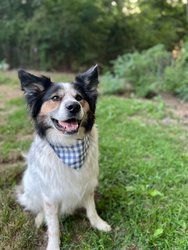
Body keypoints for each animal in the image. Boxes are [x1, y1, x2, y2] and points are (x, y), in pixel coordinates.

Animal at [16, 65, 111, 249]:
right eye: (55, 98)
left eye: (79, 97)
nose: (73, 107)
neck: (68, 146)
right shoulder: (50, 196)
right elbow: (53, 226)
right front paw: (53, 245)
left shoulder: (87, 183)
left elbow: (91, 208)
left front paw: (98, 224)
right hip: (31, 189)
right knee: (38, 208)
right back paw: (40, 219)